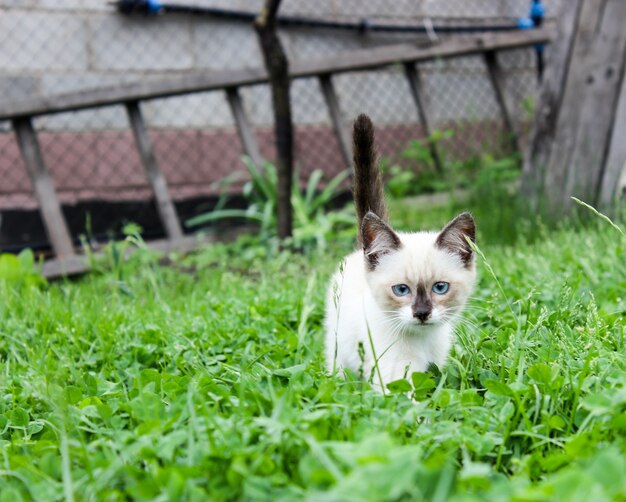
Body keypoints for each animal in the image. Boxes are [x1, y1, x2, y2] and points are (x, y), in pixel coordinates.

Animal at [324, 114, 476, 392]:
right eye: (401, 290)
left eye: (440, 288)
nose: (422, 314)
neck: (422, 339)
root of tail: (359, 251)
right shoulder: (394, 373)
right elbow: (408, 400)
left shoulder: (436, 363)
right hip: (338, 347)